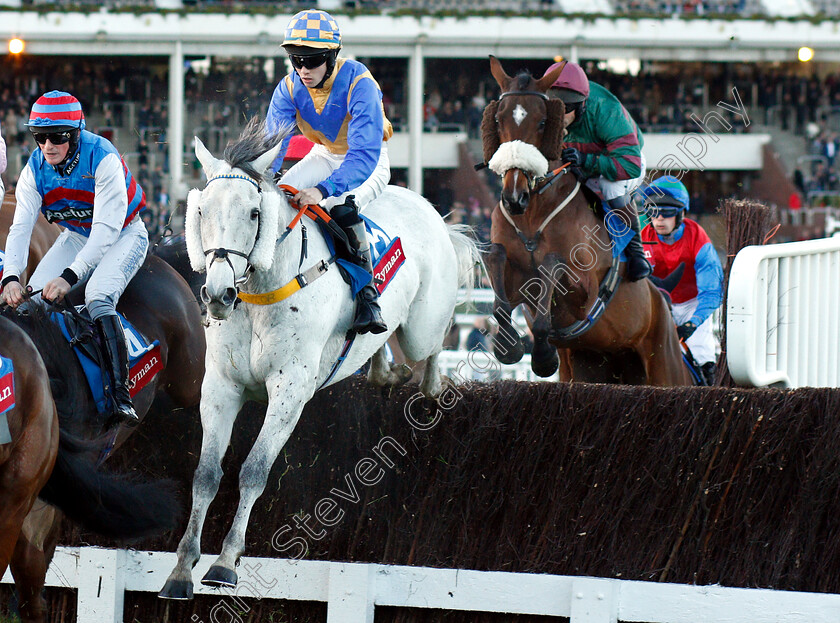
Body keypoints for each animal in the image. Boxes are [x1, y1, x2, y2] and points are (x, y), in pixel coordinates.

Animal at [158, 118, 480, 600]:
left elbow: (254, 470)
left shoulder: (290, 390)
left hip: (424, 324)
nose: (217, 294)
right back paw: (384, 370)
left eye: (253, 214)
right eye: (201, 213)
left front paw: (226, 562)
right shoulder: (220, 387)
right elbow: (207, 473)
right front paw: (181, 567)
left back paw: (432, 384)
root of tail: (428, 207)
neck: (261, 294)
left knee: (433, 342)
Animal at [482, 59, 692, 390]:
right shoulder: (515, 280)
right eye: (499, 119)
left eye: (543, 122)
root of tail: (662, 301)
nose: (514, 196)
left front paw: (543, 358)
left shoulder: (584, 294)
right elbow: (498, 271)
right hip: (591, 364)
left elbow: (551, 266)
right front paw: (509, 347)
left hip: (664, 365)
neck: (532, 216)